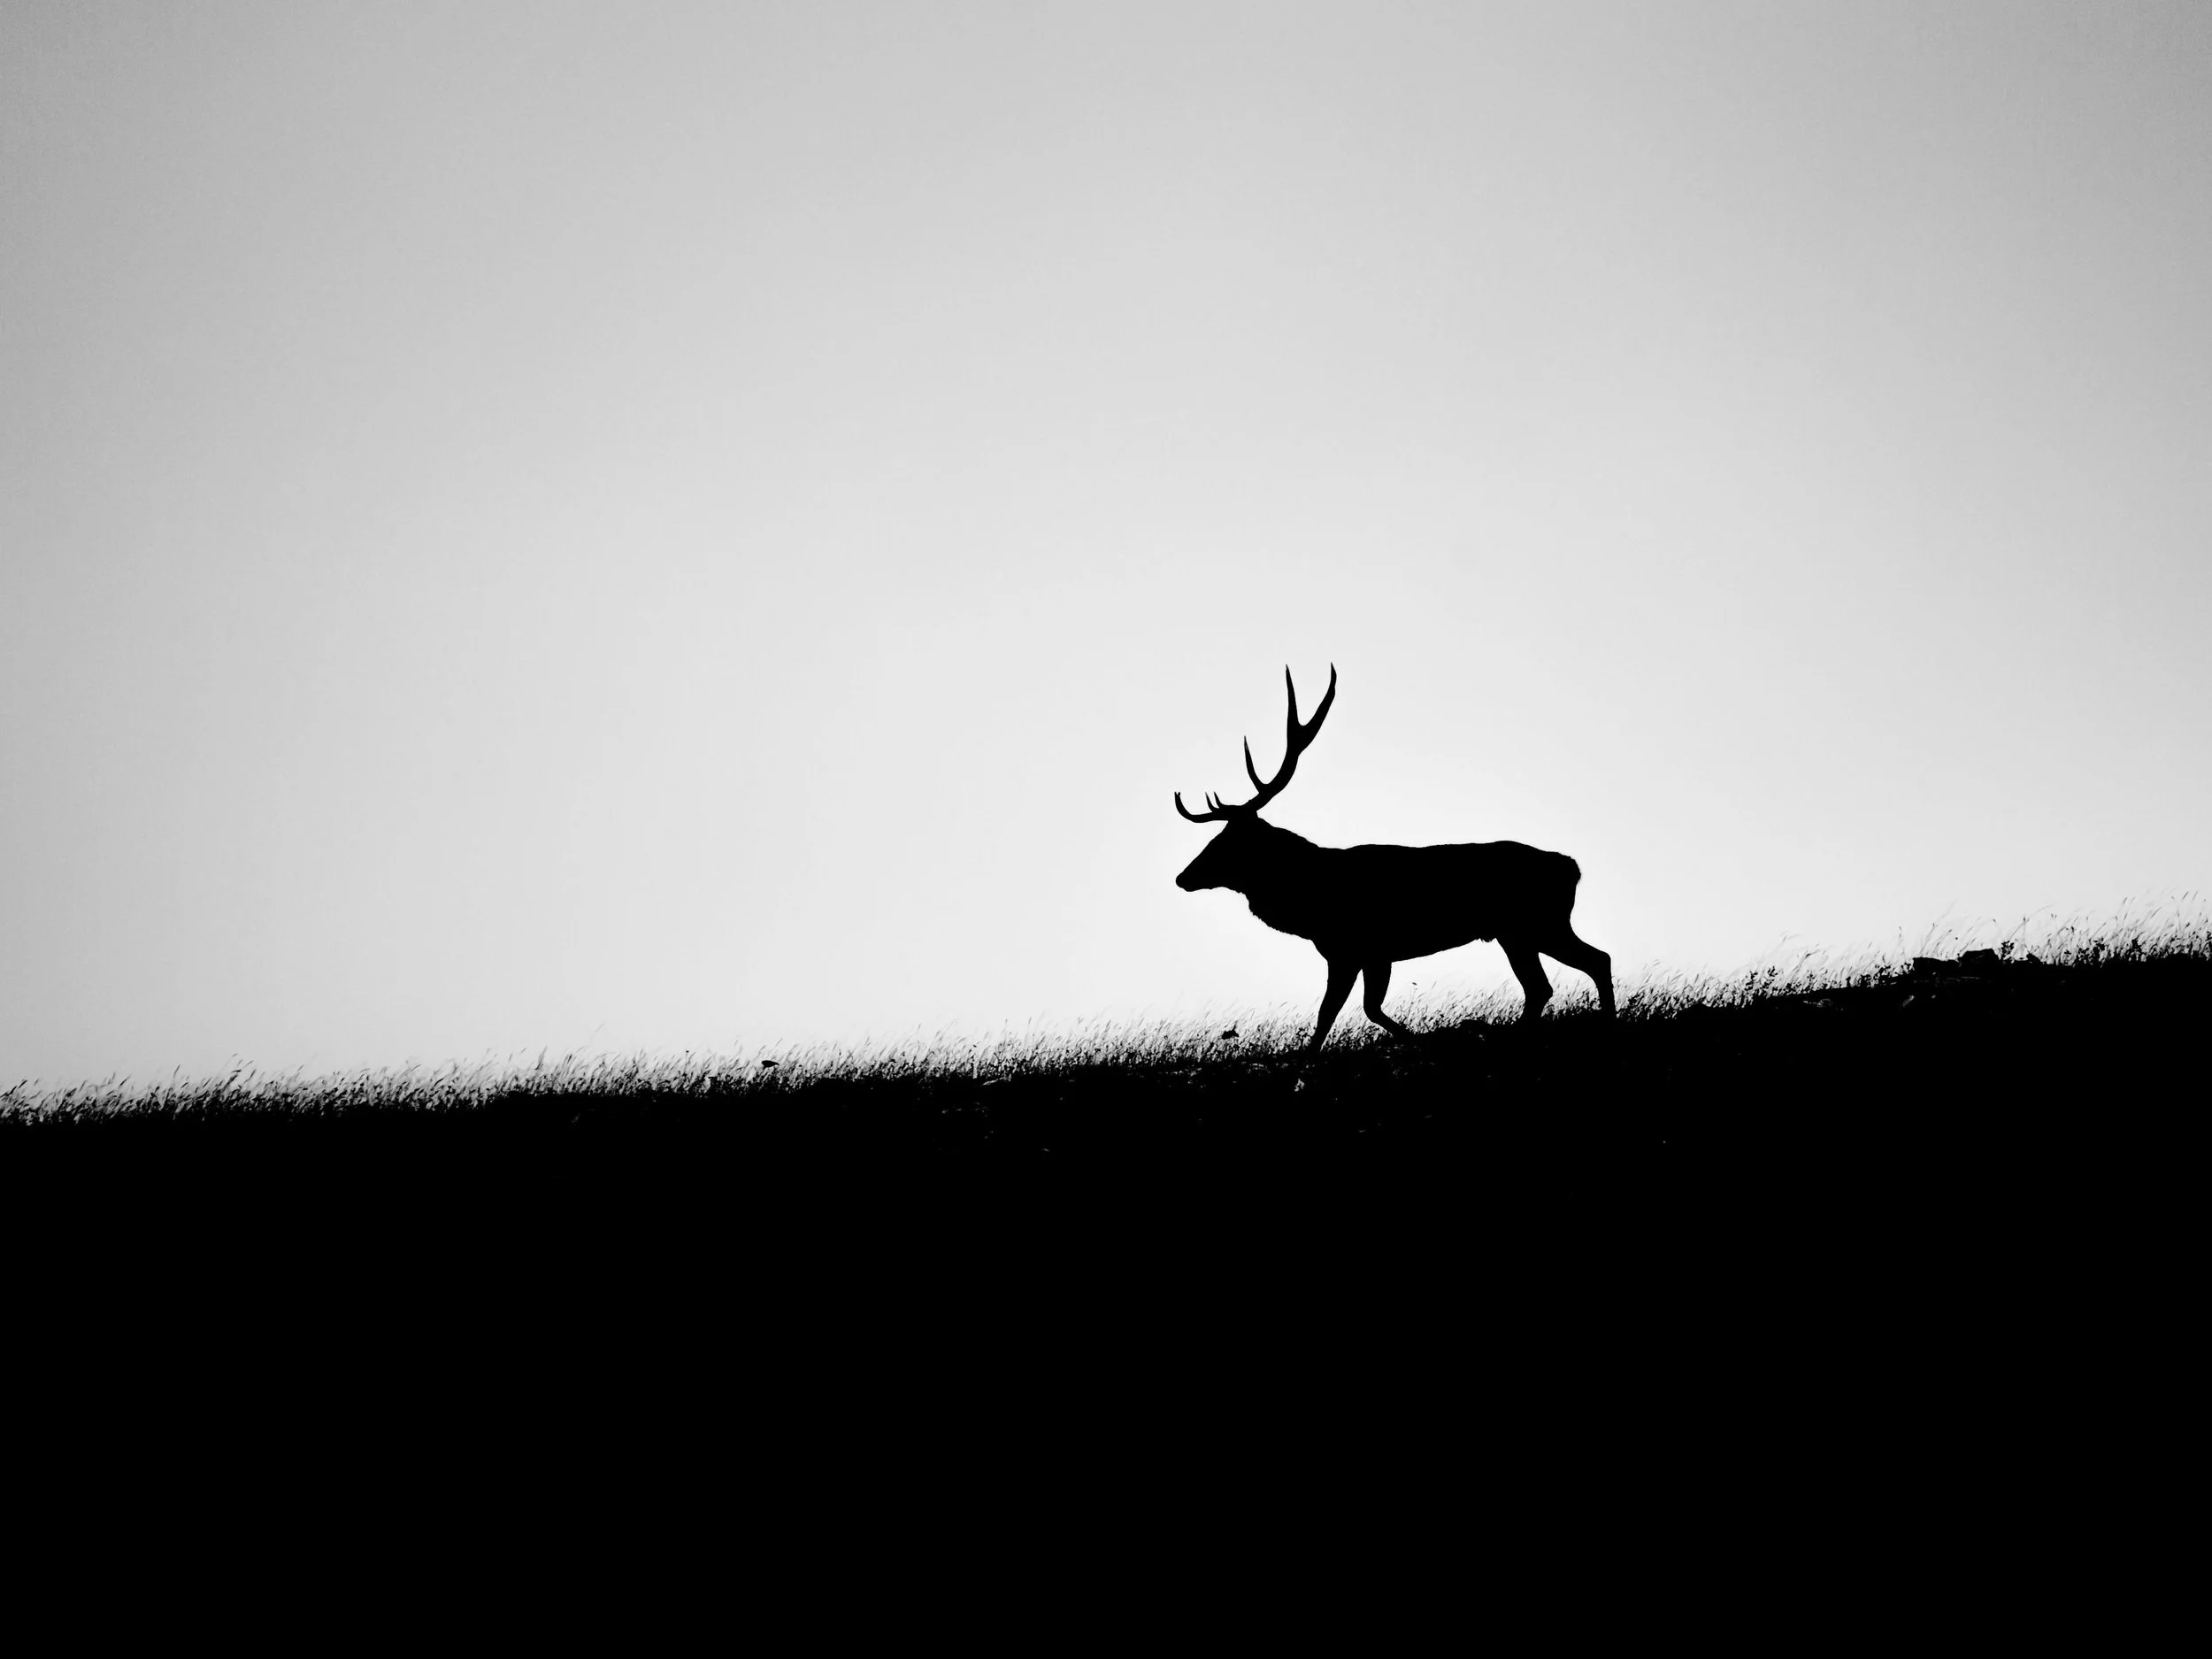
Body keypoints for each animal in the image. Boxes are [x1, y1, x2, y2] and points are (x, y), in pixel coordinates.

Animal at [1174, 666, 1615, 1053]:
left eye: (1225, 843)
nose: (1182, 877)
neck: (1310, 902)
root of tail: (1571, 868)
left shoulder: (1353, 949)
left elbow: (1332, 1014)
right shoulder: (1369, 954)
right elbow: (1365, 1009)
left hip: (1536, 923)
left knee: (1589, 963)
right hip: (1520, 931)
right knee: (1552, 981)